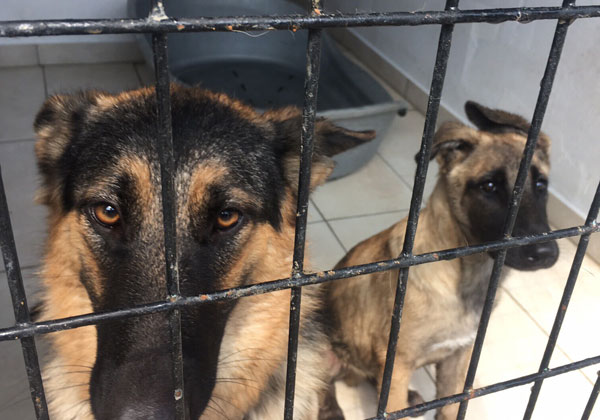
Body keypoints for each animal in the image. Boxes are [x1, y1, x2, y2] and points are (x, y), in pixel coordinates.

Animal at [326, 100, 560, 418]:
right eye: (488, 186)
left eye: (540, 185)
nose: (546, 254)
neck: (465, 272)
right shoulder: (397, 364)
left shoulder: (457, 359)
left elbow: (449, 407)